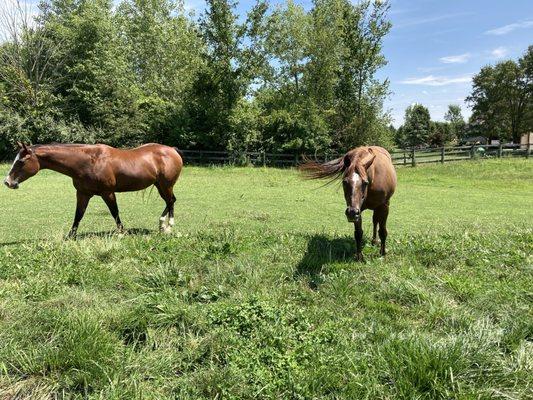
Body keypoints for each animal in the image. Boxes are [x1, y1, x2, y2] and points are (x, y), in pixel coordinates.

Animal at [3, 143, 183, 238]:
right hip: (160, 185)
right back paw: (162, 225)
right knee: (170, 201)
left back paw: (168, 226)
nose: (7, 182)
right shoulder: (83, 194)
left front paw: (121, 233)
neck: (89, 161)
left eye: (21, 162)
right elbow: (78, 215)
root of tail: (172, 150)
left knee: (171, 201)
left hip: (166, 185)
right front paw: (71, 236)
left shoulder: (108, 193)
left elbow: (115, 213)